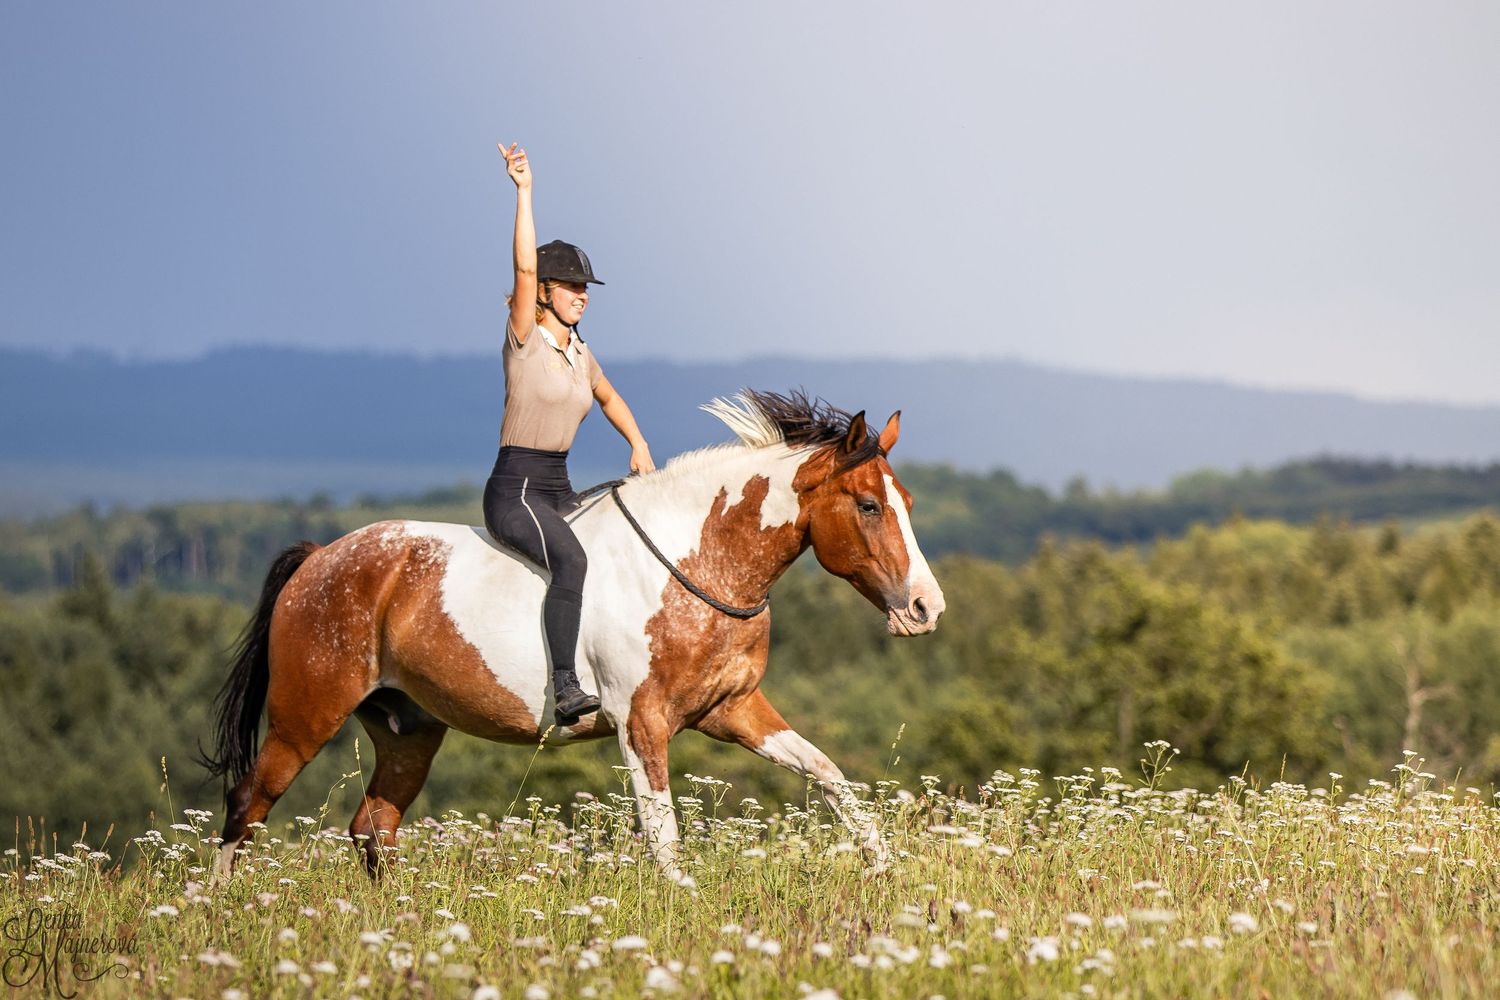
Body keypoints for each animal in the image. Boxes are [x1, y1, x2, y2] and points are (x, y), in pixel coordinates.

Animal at [201, 390, 945, 882]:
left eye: (907, 503)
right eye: (869, 505)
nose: (926, 608)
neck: (696, 564)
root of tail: (320, 558)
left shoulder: (733, 710)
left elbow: (828, 775)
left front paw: (887, 869)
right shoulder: (640, 722)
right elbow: (663, 835)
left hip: (408, 730)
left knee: (373, 827)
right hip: (306, 717)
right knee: (246, 807)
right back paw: (221, 913)